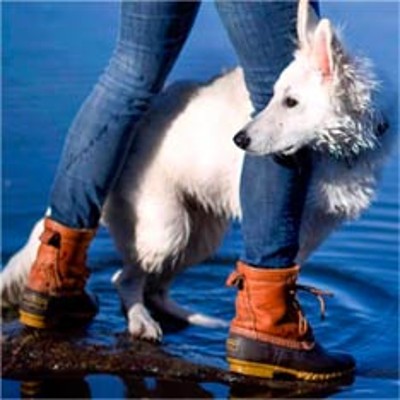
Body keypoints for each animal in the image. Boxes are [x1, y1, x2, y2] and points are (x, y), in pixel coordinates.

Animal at [1, 1, 390, 342]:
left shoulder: (314, 228)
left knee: (155, 287)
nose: (239, 139)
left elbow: (286, 272)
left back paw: (194, 318)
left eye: (291, 102)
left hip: (201, 235)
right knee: (124, 279)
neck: (337, 149)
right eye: (275, 96)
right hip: (166, 229)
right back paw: (142, 323)